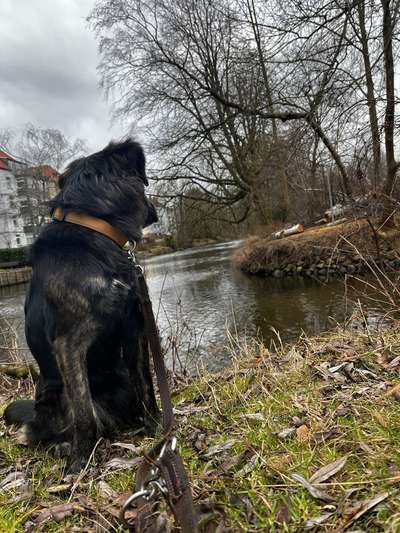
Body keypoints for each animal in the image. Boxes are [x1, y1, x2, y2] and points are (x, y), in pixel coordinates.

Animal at [3, 139, 159, 472]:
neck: (94, 232)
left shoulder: (135, 329)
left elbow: (146, 384)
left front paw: (156, 427)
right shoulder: (69, 343)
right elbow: (83, 411)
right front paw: (79, 462)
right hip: (53, 394)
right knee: (43, 429)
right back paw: (63, 445)